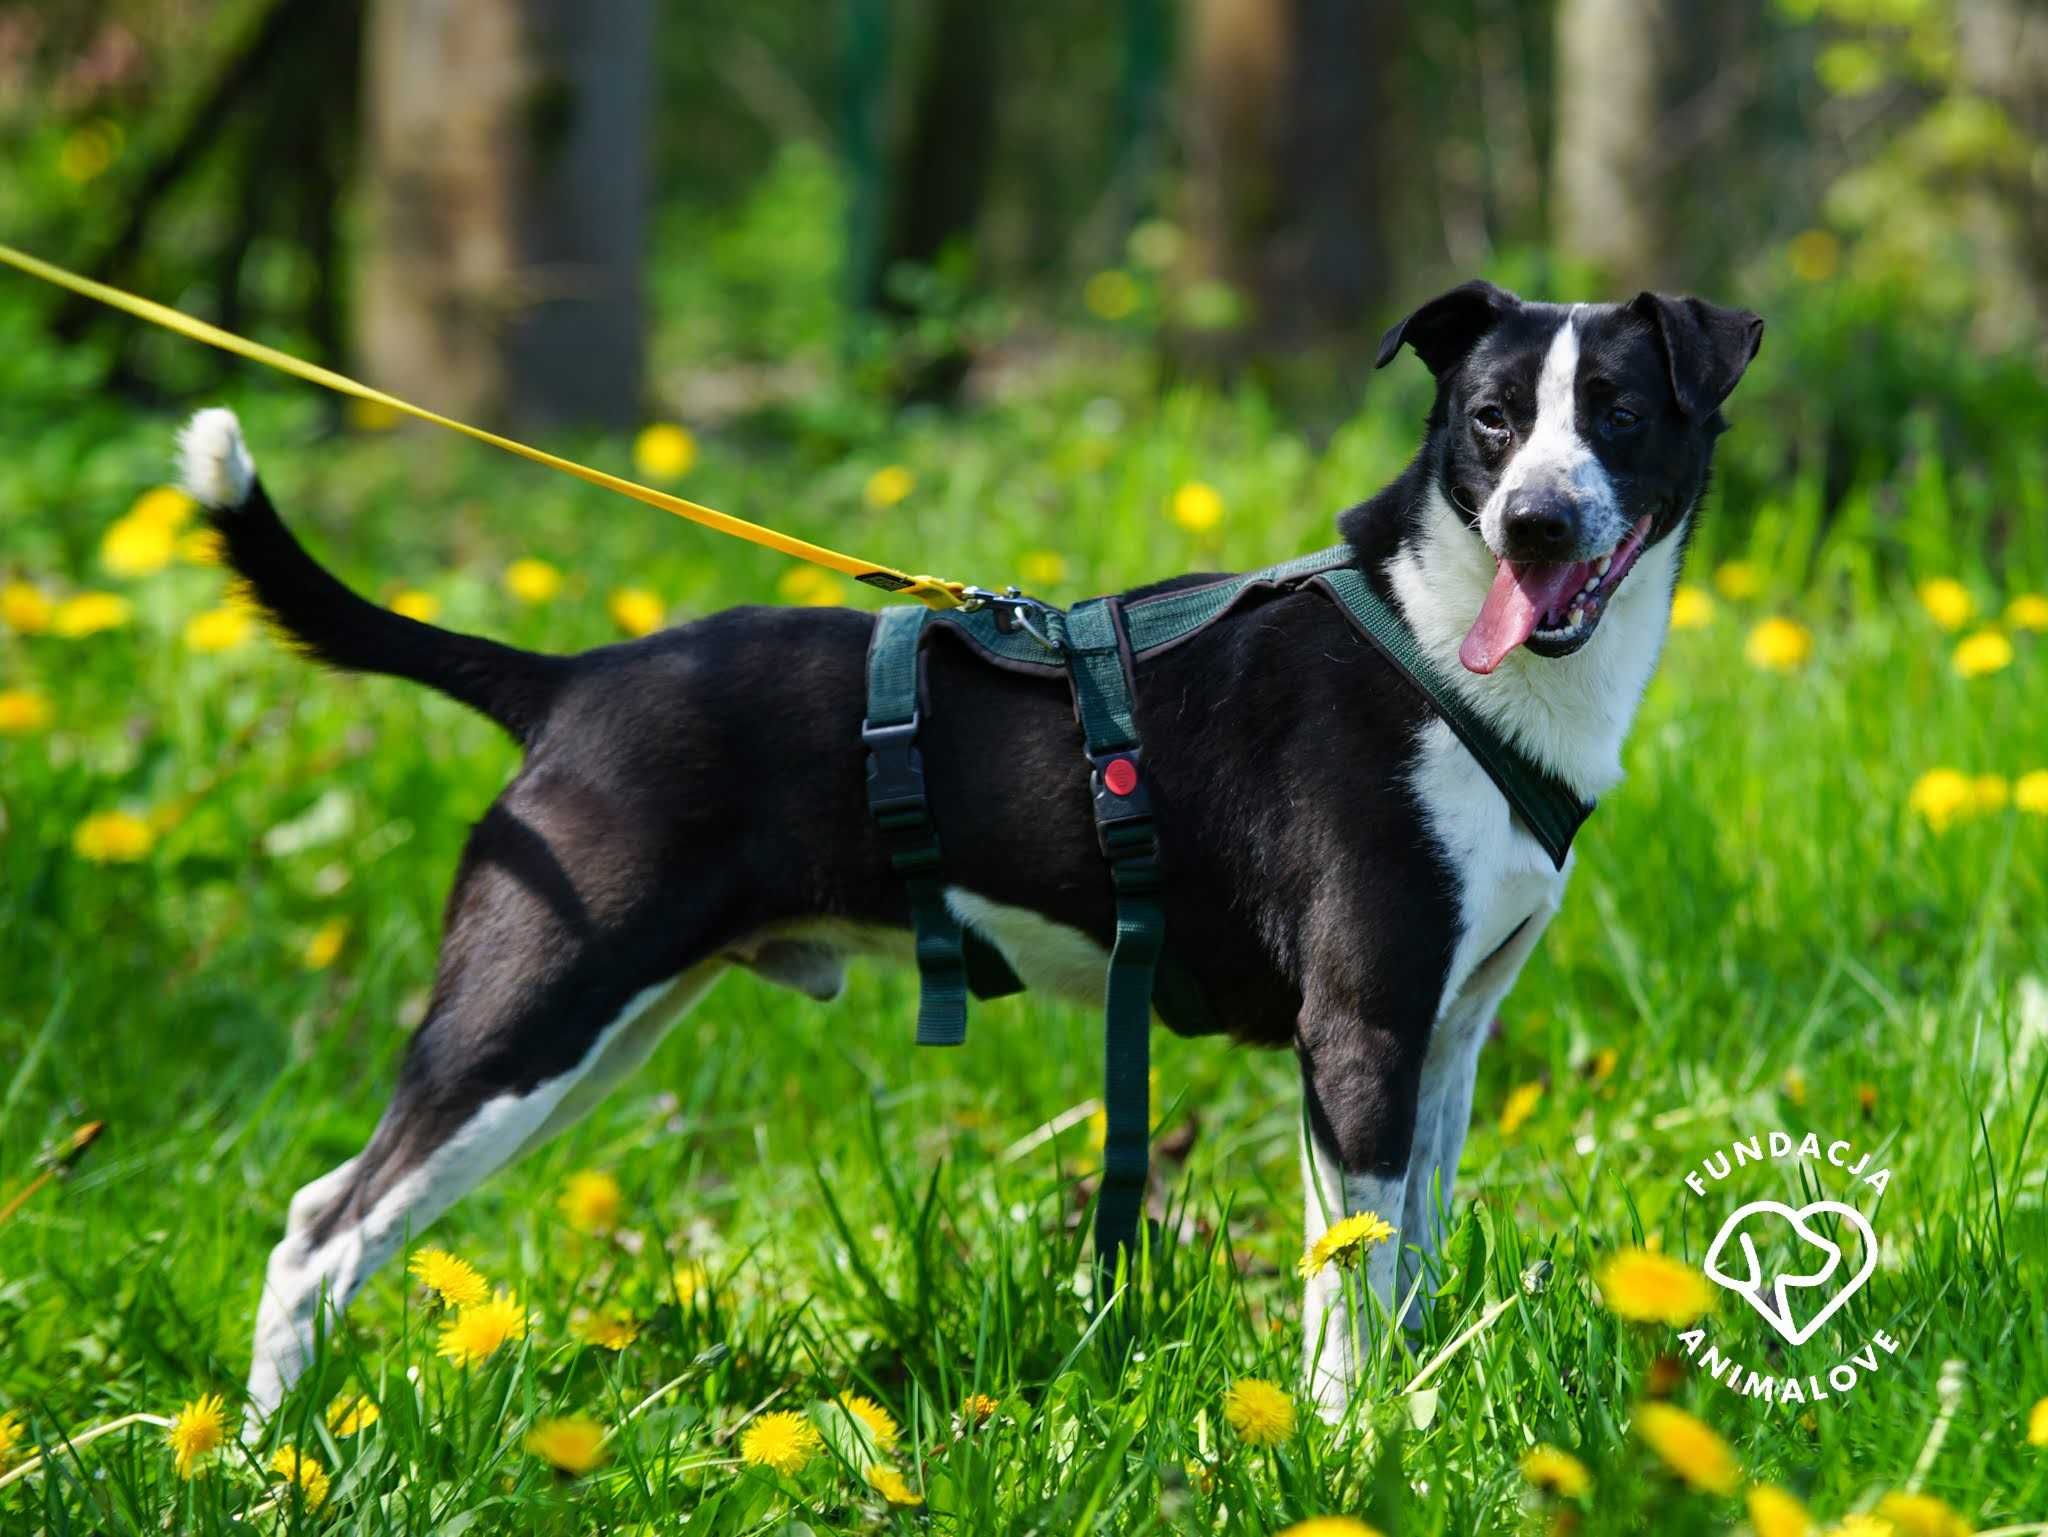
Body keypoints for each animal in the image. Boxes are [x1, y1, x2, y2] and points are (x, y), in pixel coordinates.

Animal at [180, 282, 1761, 1426]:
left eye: (1618, 413)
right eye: (1490, 420)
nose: (1535, 522)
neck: (1440, 651)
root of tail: (568, 681)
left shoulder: (1447, 1037)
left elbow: (1408, 1259)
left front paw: (1416, 1414)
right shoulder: (1359, 1031)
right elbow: (1341, 1293)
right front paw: (1346, 1443)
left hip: (599, 1030)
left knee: (337, 1216)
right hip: (533, 1009)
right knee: (323, 1231)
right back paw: (270, 1459)